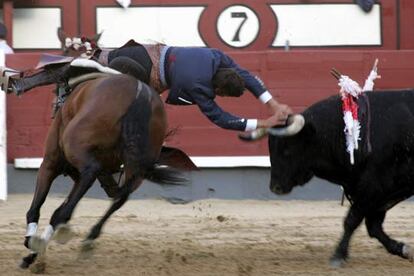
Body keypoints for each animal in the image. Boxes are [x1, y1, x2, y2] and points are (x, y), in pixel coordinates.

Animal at [239, 90, 414, 268]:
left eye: (286, 150)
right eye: (270, 149)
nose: (275, 187)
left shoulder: (373, 187)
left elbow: (352, 220)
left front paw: (338, 255)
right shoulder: (376, 195)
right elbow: (373, 227)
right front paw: (403, 249)